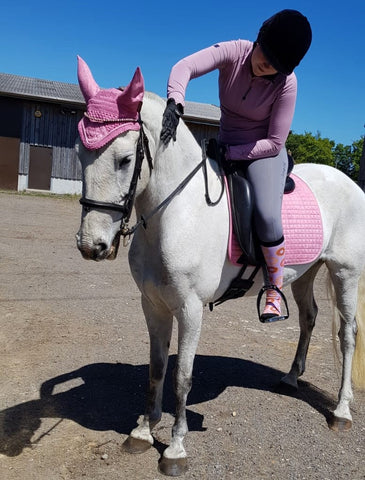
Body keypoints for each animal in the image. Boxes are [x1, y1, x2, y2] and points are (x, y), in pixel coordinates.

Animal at [74, 58, 364, 474]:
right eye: (80, 153)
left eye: (125, 160)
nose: (91, 245)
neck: (177, 213)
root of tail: (349, 182)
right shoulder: (153, 305)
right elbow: (156, 369)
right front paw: (143, 432)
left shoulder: (190, 309)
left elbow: (182, 376)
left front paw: (176, 449)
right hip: (304, 274)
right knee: (309, 318)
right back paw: (291, 378)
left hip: (345, 273)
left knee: (347, 334)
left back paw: (341, 411)